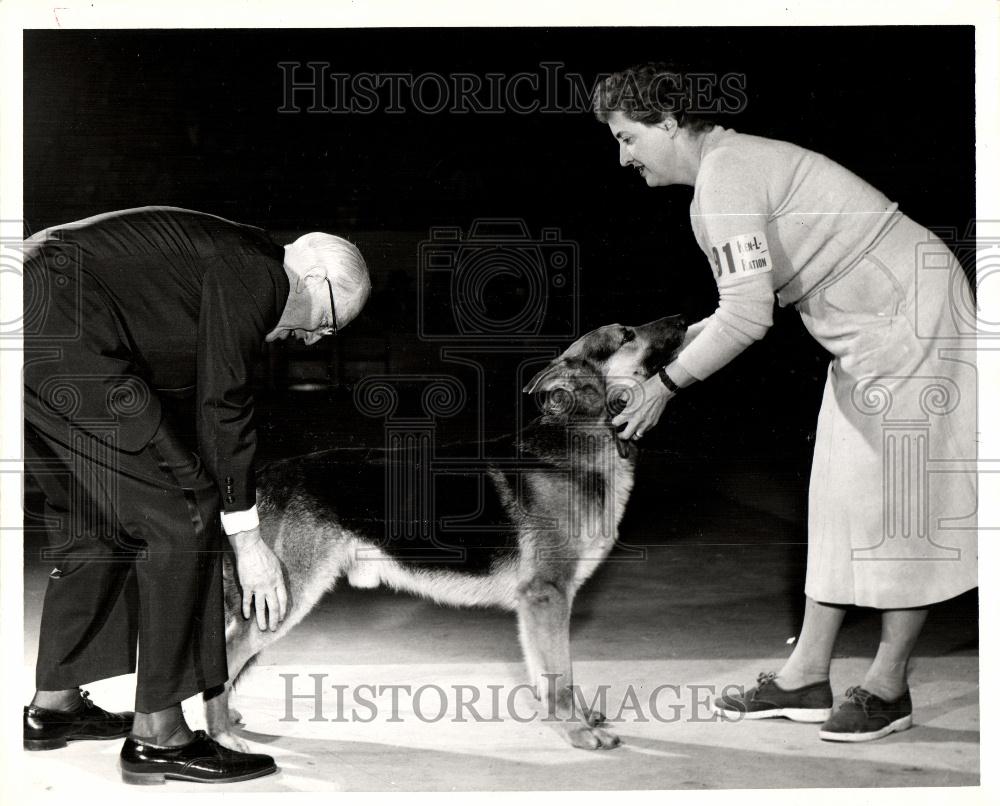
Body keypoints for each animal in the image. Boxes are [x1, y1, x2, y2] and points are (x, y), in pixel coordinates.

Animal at [203, 314, 688, 752]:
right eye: (626, 334)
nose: (685, 318)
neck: (577, 438)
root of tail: (262, 478)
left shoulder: (544, 606)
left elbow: (550, 673)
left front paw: (579, 721)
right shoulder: (546, 597)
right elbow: (559, 677)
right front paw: (578, 733)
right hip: (284, 600)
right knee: (229, 651)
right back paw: (221, 734)